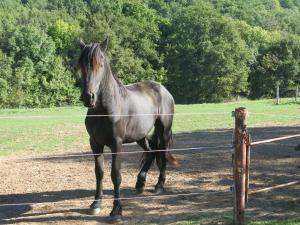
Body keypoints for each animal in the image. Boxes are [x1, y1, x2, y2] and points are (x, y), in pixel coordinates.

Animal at [78, 39, 178, 221]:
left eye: (100, 64)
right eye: (81, 64)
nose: (88, 97)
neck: (105, 109)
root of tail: (163, 89)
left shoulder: (116, 144)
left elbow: (116, 175)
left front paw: (116, 210)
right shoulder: (95, 144)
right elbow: (99, 172)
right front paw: (96, 204)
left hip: (164, 130)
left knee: (162, 152)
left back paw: (159, 185)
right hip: (140, 135)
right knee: (151, 151)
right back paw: (140, 183)